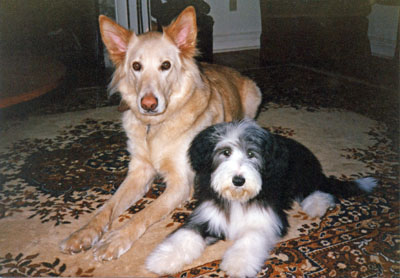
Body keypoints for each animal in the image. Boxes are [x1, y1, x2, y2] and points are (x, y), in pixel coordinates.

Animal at [58, 7, 260, 262]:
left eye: (165, 65)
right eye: (136, 66)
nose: (148, 104)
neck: (154, 127)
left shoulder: (180, 184)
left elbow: (144, 213)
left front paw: (116, 239)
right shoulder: (138, 173)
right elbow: (108, 207)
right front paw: (84, 233)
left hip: (254, 94)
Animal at [145, 120, 376, 278]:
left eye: (251, 154)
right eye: (225, 152)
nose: (238, 180)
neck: (238, 198)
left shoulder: (268, 219)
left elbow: (251, 237)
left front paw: (237, 263)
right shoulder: (207, 214)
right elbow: (186, 235)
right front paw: (162, 258)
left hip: (302, 173)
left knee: (318, 188)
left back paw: (316, 204)